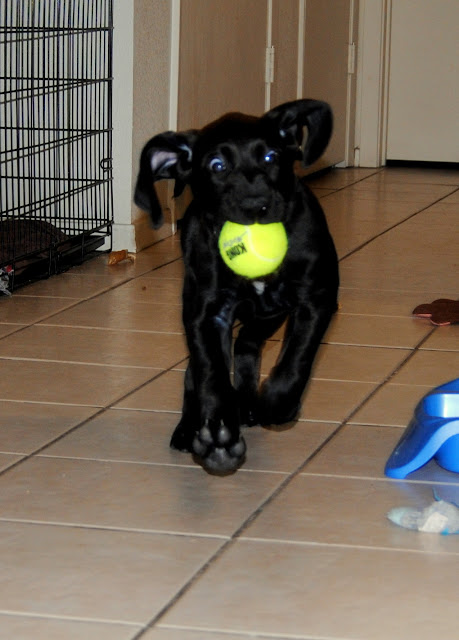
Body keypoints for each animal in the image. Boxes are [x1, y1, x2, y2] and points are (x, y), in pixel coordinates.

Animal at [134, 99, 339, 473]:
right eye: (217, 165)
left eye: (271, 157)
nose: (256, 206)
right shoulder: (206, 314)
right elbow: (211, 374)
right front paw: (218, 435)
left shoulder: (317, 298)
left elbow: (298, 358)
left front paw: (278, 402)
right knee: (197, 371)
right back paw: (191, 427)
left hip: (269, 315)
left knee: (247, 345)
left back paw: (249, 403)